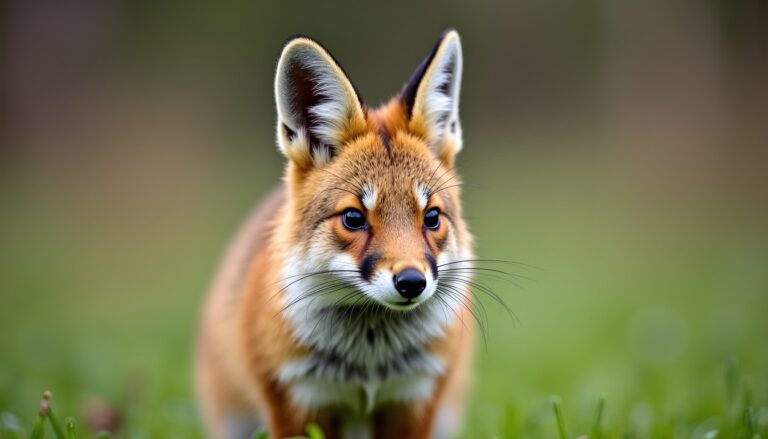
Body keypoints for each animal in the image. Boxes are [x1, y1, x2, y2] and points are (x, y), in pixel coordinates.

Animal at [195, 29, 475, 439]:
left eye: (432, 217)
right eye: (354, 218)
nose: (411, 282)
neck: (369, 362)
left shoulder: (415, 398)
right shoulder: (297, 400)